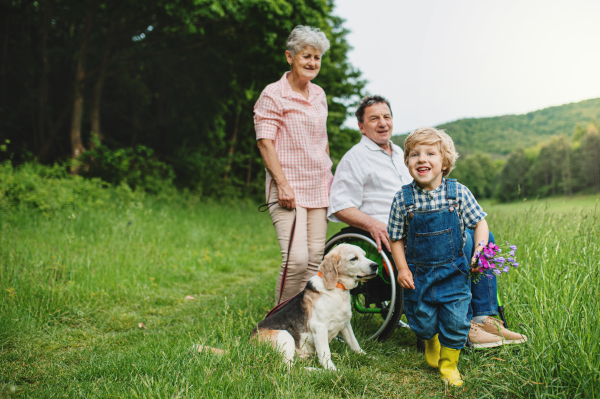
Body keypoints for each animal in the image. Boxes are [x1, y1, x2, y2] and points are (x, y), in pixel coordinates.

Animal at [251, 244, 378, 372]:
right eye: (354, 258)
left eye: (364, 255)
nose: (375, 265)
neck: (338, 289)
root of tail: (250, 341)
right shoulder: (320, 327)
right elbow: (326, 353)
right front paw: (332, 370)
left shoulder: (345, 324)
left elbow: (354, 343)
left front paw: (365, 356)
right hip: (285, 335)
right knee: (289, 367)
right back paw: (319, 371)